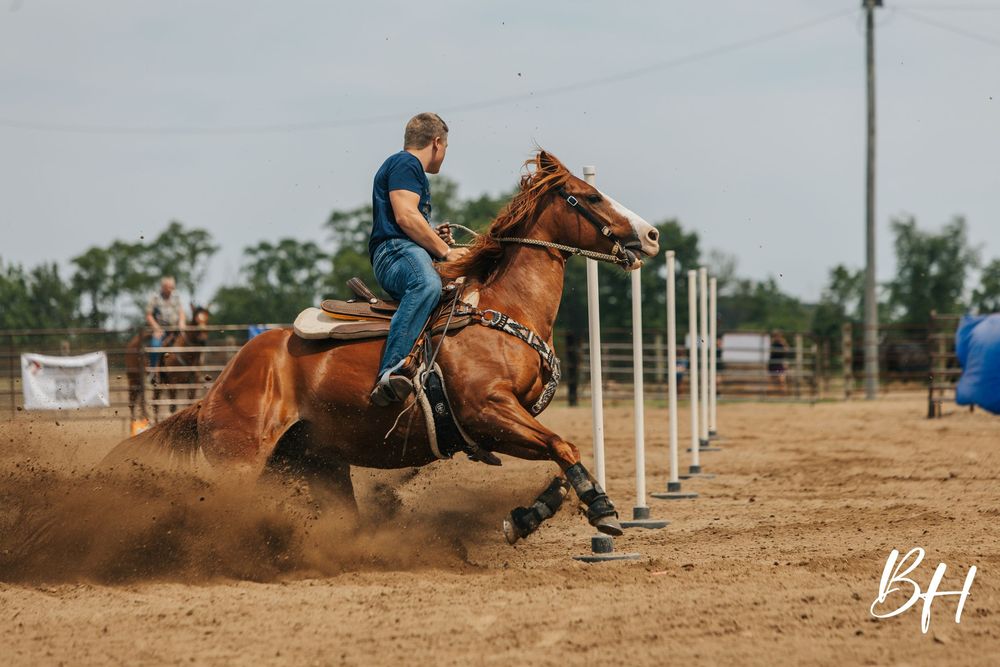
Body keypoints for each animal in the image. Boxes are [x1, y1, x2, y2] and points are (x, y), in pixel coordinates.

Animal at [106, 151, 660, 544]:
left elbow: (561, 458)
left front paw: (524, 518)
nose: (652, 235)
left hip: (319, 463)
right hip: (239, 461)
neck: (503, 310)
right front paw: (604, 511)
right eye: (588, 195)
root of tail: (218, 387)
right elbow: (565, 447)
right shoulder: (487, 411)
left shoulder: (505, 421)